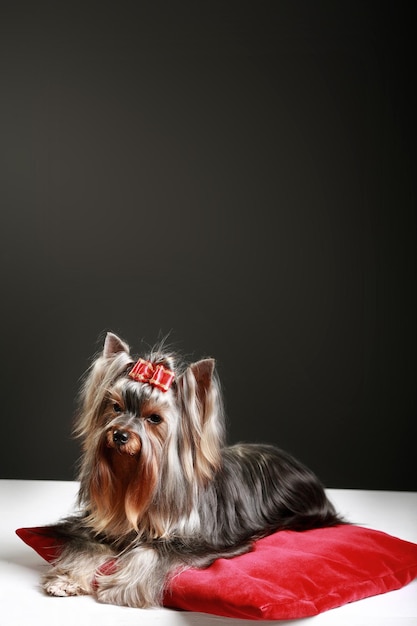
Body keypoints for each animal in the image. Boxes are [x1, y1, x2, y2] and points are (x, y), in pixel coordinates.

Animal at [41, 332, 342, 604]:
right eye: (116, 407)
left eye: (154, 418)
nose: (120, 435)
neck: (135, 480)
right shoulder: (95, 527)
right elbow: (87, 546)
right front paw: (67, 581)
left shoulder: (193, 545)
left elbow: (151, 552)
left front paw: (121, 588)